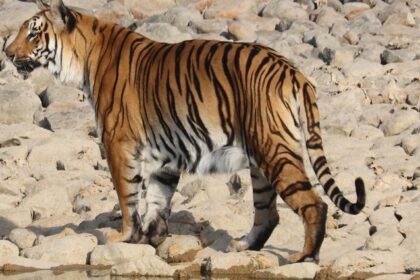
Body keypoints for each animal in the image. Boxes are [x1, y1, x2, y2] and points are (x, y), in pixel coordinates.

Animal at [4, 0, 364, 262]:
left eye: (33, 34)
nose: (6, 53)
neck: (85, 56)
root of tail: (294, 72)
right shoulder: (163, 153)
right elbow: (156, 198)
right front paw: (152, 236)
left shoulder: (118, 142)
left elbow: (127, 195)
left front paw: (124, 236)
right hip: (261, 159)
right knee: (268, 214)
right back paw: (243, 246)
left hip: (274, 150)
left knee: (314, 204)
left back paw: (303, 257)